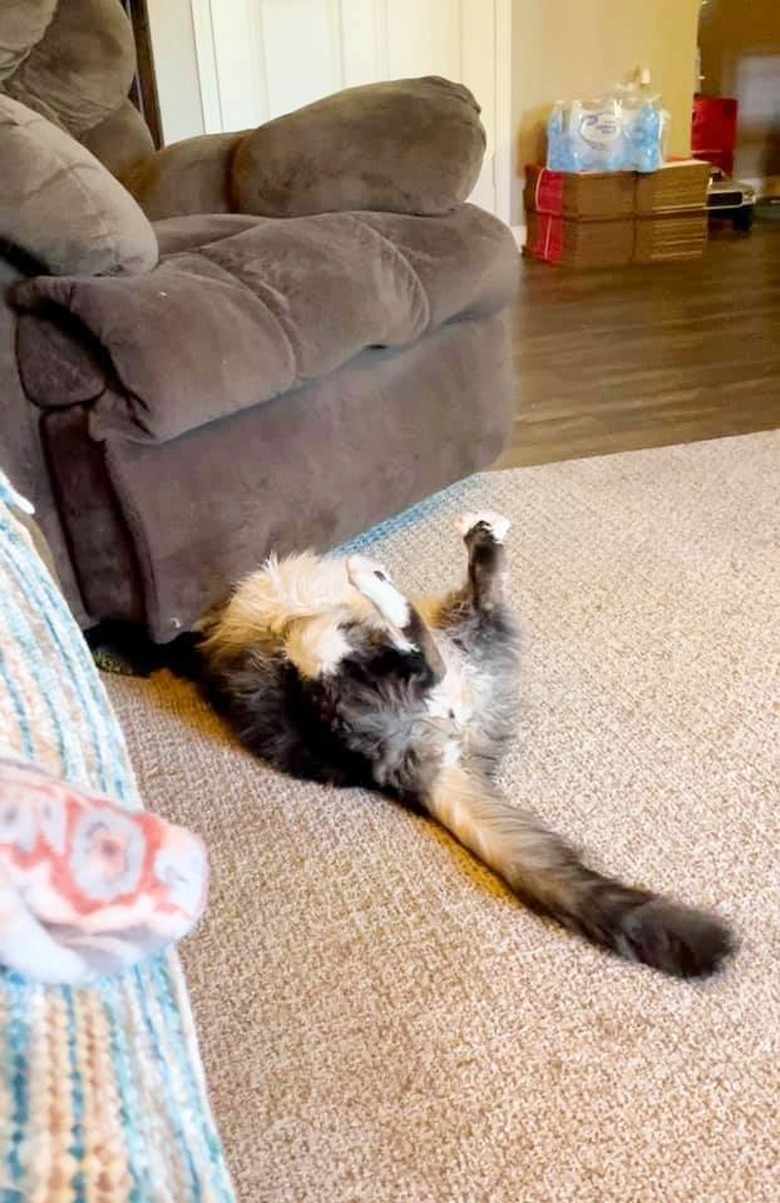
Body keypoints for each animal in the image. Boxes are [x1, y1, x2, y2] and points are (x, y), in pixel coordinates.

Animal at [193, 510, 731, 976]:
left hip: (435, 638)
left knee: (450, 617)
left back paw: (450, 546)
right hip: (342, 685)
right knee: (422, 650)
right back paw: (389, 574)